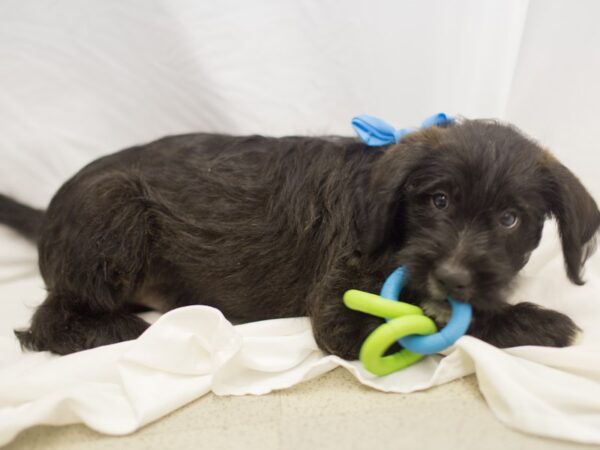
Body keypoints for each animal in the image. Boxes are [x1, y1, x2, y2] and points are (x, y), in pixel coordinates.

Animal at [3, 119, 600, 358]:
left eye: (510, 219)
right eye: (439, 201)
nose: (452, 276)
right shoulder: (342, 309)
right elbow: (432, 321)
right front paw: (532, 322)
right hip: (113, 207)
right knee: (46, 320)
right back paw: (116, 330)